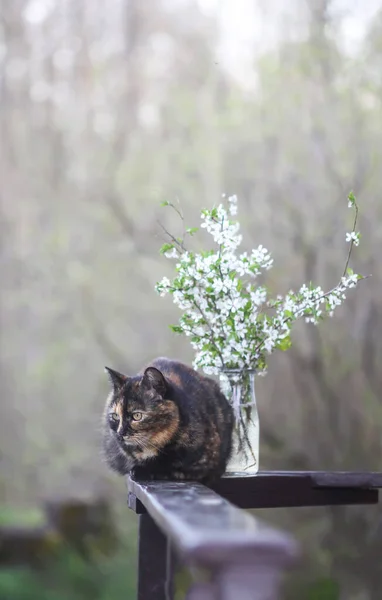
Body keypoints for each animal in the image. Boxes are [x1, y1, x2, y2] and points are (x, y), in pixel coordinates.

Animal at [101, 356, 233, 482]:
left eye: (137, 416)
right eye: (115, 416)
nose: (120, 433)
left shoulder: (206, 464)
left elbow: (173, 468)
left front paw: (143, 470)